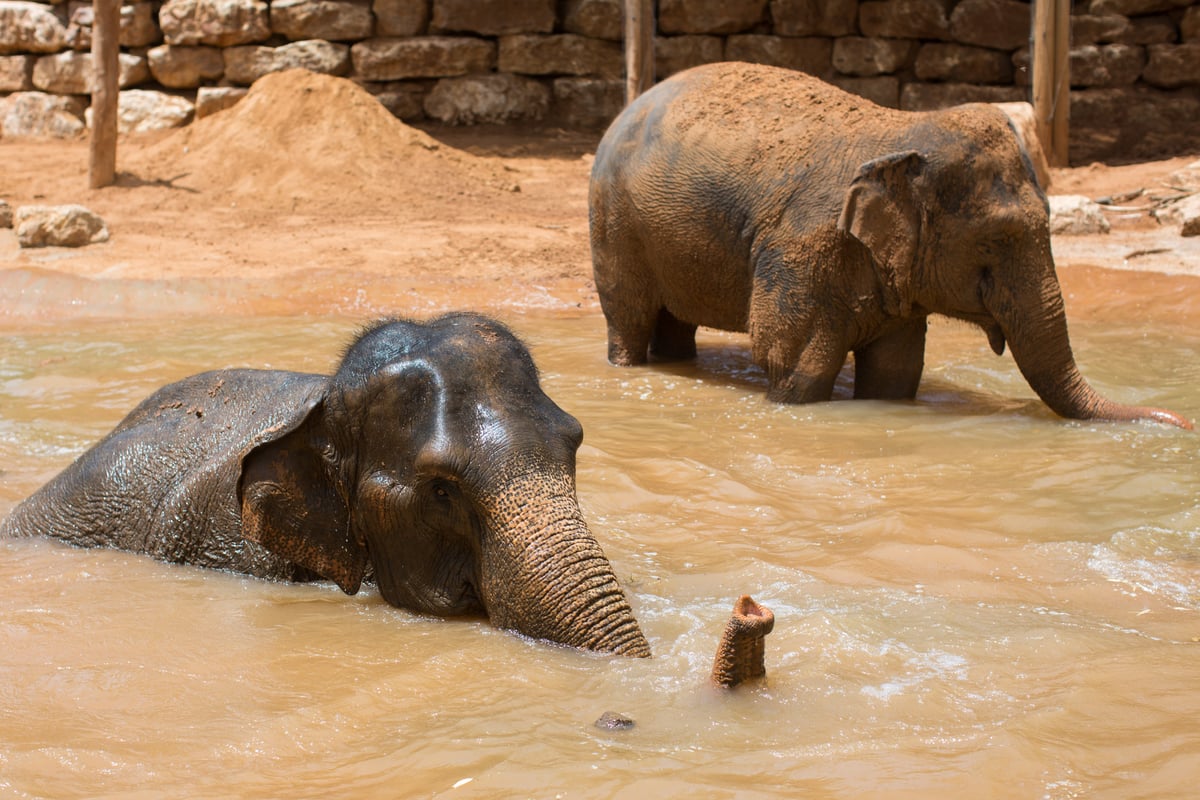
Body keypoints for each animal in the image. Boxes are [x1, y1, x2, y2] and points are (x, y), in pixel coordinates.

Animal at [588, 62, 1190, 429]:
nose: (1183, 422)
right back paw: (629, 366)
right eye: (997, 239)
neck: (902, 134)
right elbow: (791, 364)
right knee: (630, 320)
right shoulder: (799, 253)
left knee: (674, 325)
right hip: (614, 224)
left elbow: (896, 373)